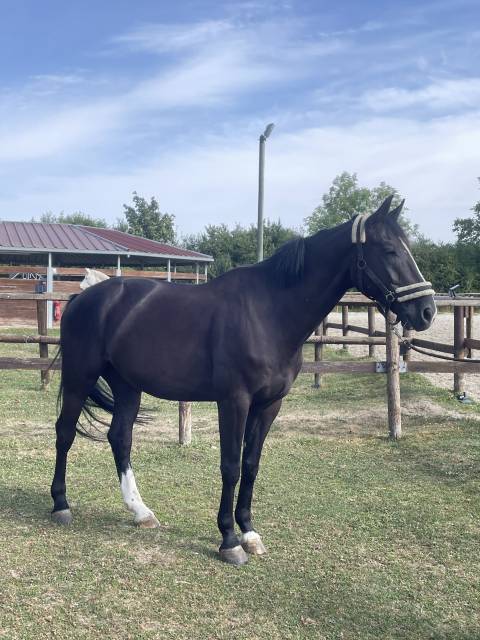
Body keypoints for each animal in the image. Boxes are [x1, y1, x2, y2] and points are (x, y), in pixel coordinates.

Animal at [50, 196, 436, 565]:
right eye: (389, 249)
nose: (427, 311)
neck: (269, 314)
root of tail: (83, 298)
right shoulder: (234, 401)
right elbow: (231, 466)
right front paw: (229, 540)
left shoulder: (269, 405)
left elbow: (251, 465)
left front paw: (249, 532)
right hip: (79, 377)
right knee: (65, 432)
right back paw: (61, 504)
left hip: (128, 385)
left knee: (120, 438)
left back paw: (140, 511)